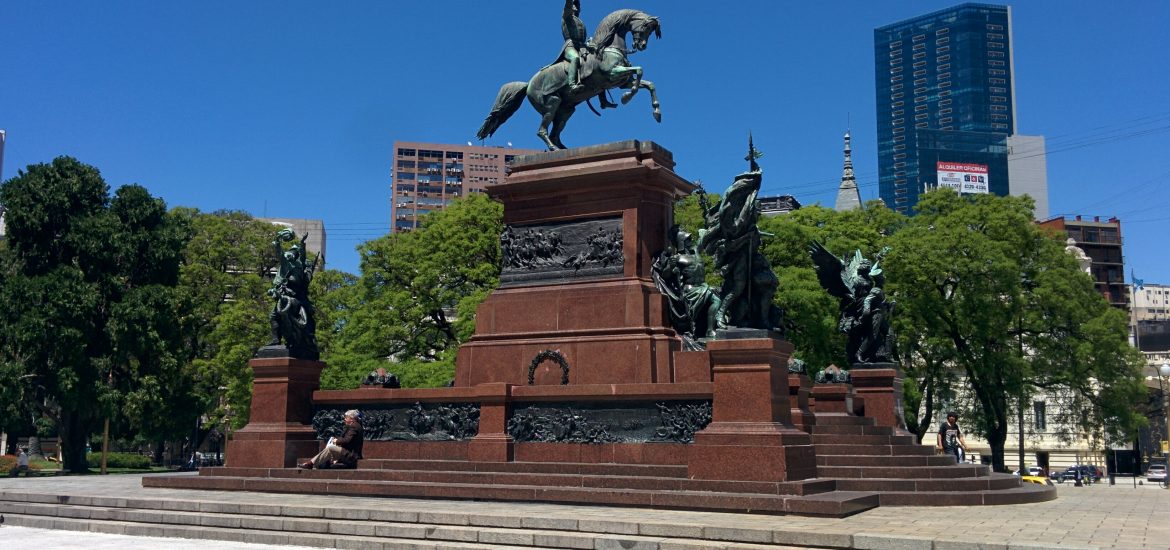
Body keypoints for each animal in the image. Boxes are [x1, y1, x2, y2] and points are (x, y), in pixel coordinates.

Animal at [475, 9, 659, 150]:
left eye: (651, 31)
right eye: (645, 27)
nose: (642, 46)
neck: (607, 47)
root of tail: (528, 84)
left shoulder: (622, 81)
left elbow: (648, 83)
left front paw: (657, 112)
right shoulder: (613, 74)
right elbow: (640, 71)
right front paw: (627, 97)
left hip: (566, 110)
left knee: (555, 133)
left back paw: (563, 149)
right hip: (552, 102)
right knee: (542, 131)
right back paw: (553, 148)